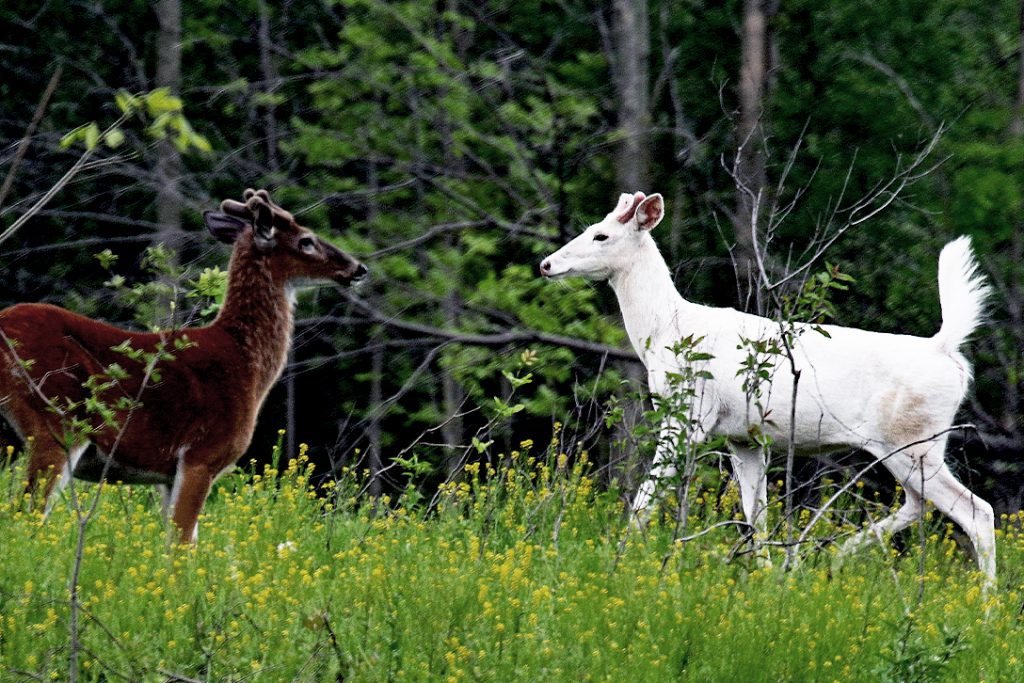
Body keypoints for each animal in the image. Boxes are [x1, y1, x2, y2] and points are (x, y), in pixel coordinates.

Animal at [0, 188, 366, 543]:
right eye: (306, 240)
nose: (358, 268)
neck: (245, 363)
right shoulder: (201, 455)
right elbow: (182, 543)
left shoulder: (166, 474)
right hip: (58, 418)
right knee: (27, 512)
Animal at [540, 190, 996, 583]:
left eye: (602, 236)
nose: (546, 264)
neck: (669, 330)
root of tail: (946, 351)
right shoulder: (743, 436)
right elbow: (754, 513)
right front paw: (763, 574)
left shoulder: (691, 415)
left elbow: (646, 497)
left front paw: (617, 559)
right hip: (912, 445)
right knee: (921, 504)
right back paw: (835, 556)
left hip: (912, 439)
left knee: (977, 511)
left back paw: (988, 606)